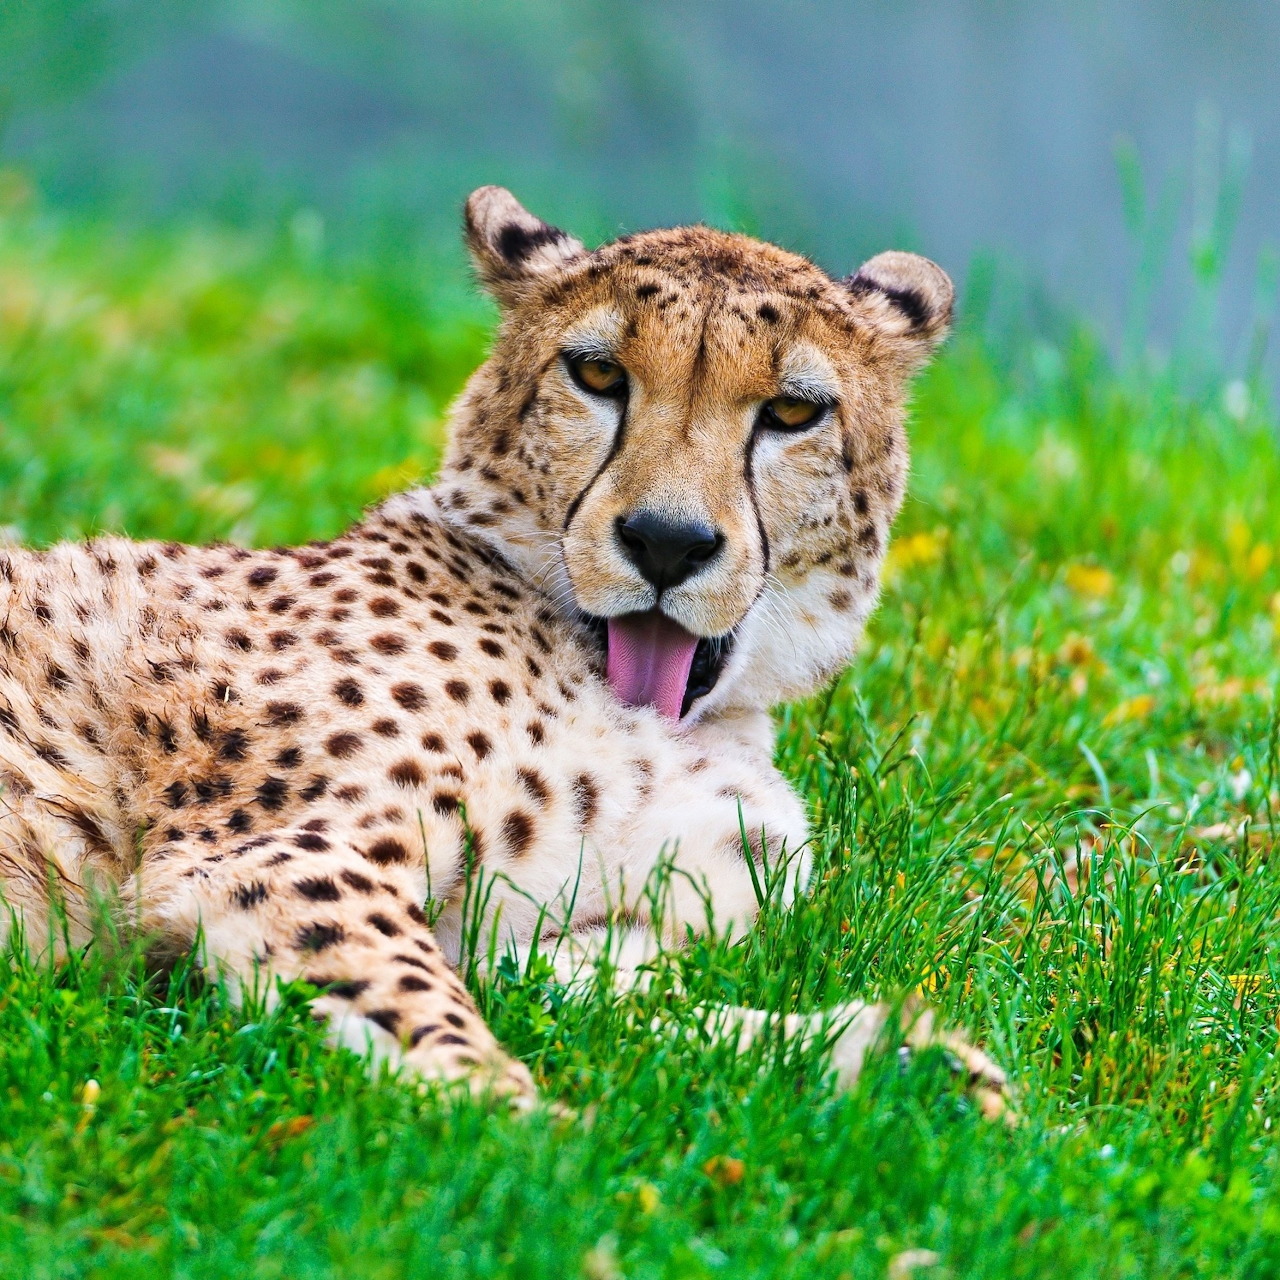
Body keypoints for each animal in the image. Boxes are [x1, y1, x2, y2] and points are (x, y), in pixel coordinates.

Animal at [0, 186, 1007, 1115]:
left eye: (794, 412)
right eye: (597, 374)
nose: (666, 542)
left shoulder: (550, 941)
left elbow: (647, 1013)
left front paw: (902, 1066)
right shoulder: (276, 858)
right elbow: (426, 1010)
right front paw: (532, 1129)